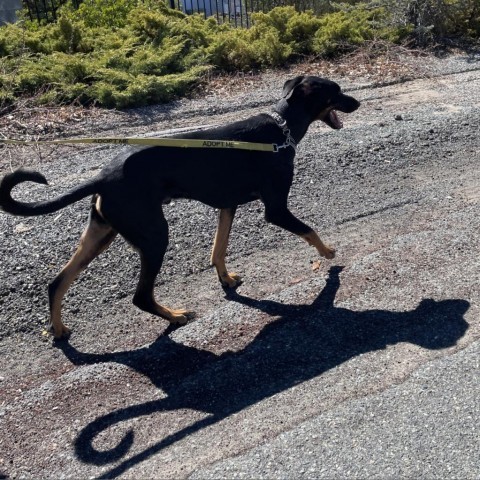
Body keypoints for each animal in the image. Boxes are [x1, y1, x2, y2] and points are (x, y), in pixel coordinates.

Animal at [0, 76, 360, 338]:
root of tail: (102, 177)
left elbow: (218, 249)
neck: (281, 127)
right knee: (140, 296)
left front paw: (225, 278)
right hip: (154, 236)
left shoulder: (227, 205)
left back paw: (59, 329)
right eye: (336, 91)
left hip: (101, 234)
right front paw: (327, 253)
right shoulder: (275, 209)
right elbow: (309, 229)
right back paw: (174, 316)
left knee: (57, 283)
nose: (357, 102)